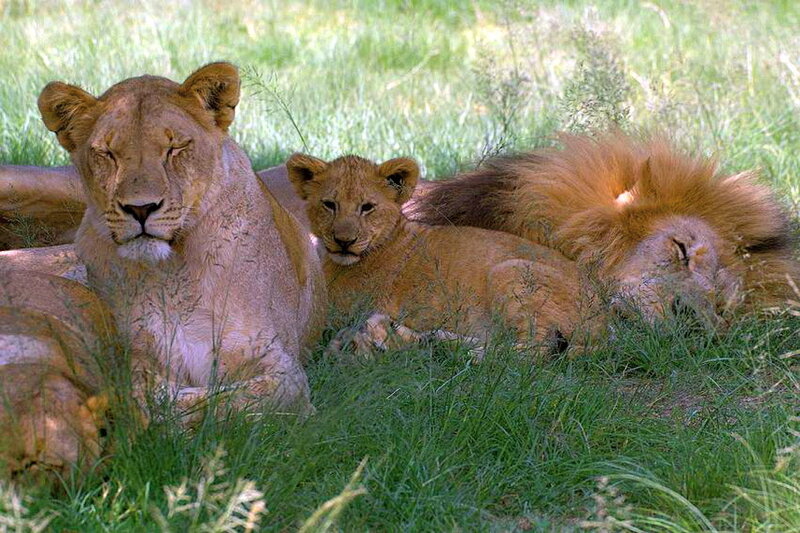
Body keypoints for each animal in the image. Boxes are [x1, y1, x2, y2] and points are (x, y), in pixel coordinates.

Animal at [34, 62, 326, 415]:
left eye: (175, 148)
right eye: (107, 153)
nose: (141, 208)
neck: (171, 273)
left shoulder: (283, 369)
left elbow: (224, 401)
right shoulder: (135, 356)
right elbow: (148, 393)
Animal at [286, 153, 597, 356]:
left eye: (367, 207)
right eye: (329, 204)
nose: (344, 241)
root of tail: (603, 324)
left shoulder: (342, 312)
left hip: (510, 271)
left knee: (536, 348)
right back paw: (428, 339)